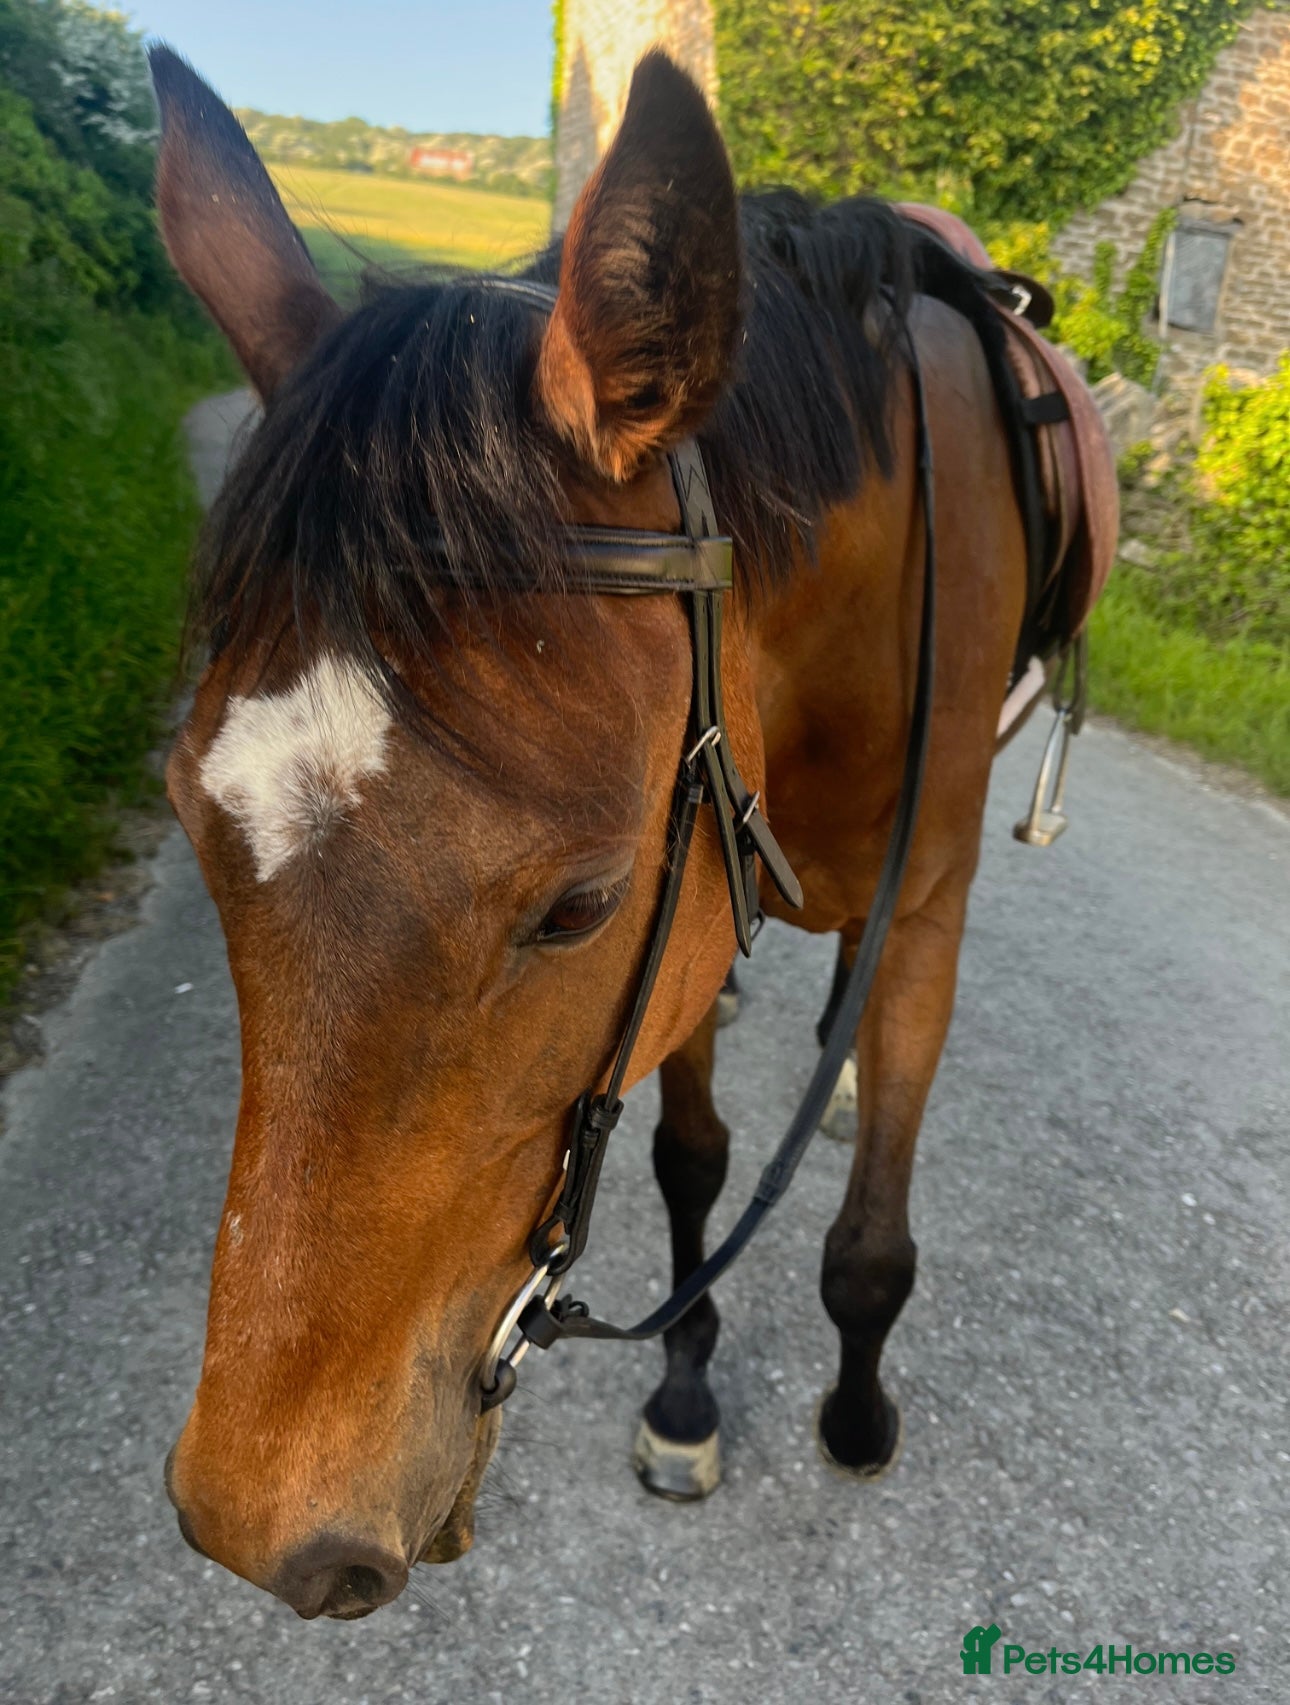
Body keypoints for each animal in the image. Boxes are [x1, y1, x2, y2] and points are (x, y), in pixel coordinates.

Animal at [147, 45, 1112, 1620]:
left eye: (580, 905)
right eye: (195, 819)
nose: (258, 1522)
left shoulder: (898, 904)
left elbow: (869, 1243)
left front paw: (855, 1416)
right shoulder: (705, 891)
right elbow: (691, 1162)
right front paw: (682, 1395)